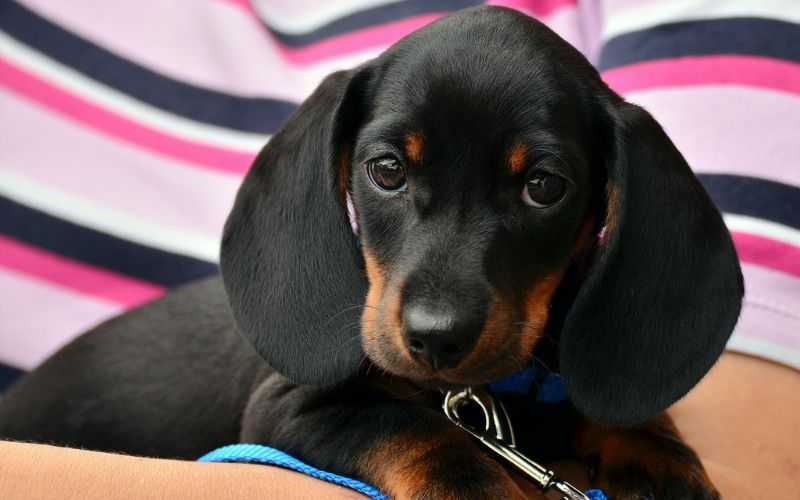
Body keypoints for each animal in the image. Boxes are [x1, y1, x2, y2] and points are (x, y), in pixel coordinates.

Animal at [0, 7, 740, 500]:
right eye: (386, 170)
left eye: (544, 187)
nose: (436, 339)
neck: (489, 398)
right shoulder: (287, 407)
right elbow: (416, 429)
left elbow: (623, 411)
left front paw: (660, 458)